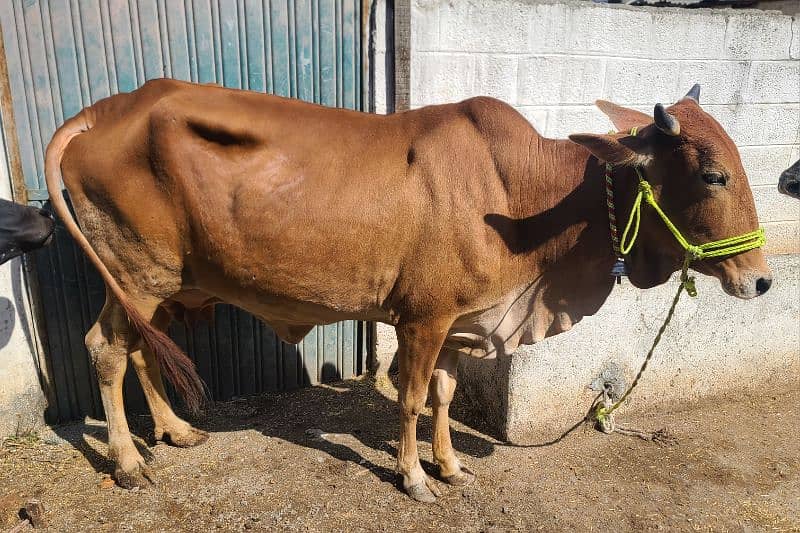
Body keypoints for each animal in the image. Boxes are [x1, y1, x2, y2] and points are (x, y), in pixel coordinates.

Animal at [43, 79, 768, 498]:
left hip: (160, 286)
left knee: (142, 349)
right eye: (712, 175)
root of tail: (106, 110)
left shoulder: (459, 320)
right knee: (106, 351)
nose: (760, 278)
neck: (526, 201)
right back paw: (128, 462)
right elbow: (414, 397)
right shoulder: (423, 318)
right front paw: (415, 475)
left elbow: (445, 396)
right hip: (135, 273)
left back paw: (171, 431)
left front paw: (450, 464)